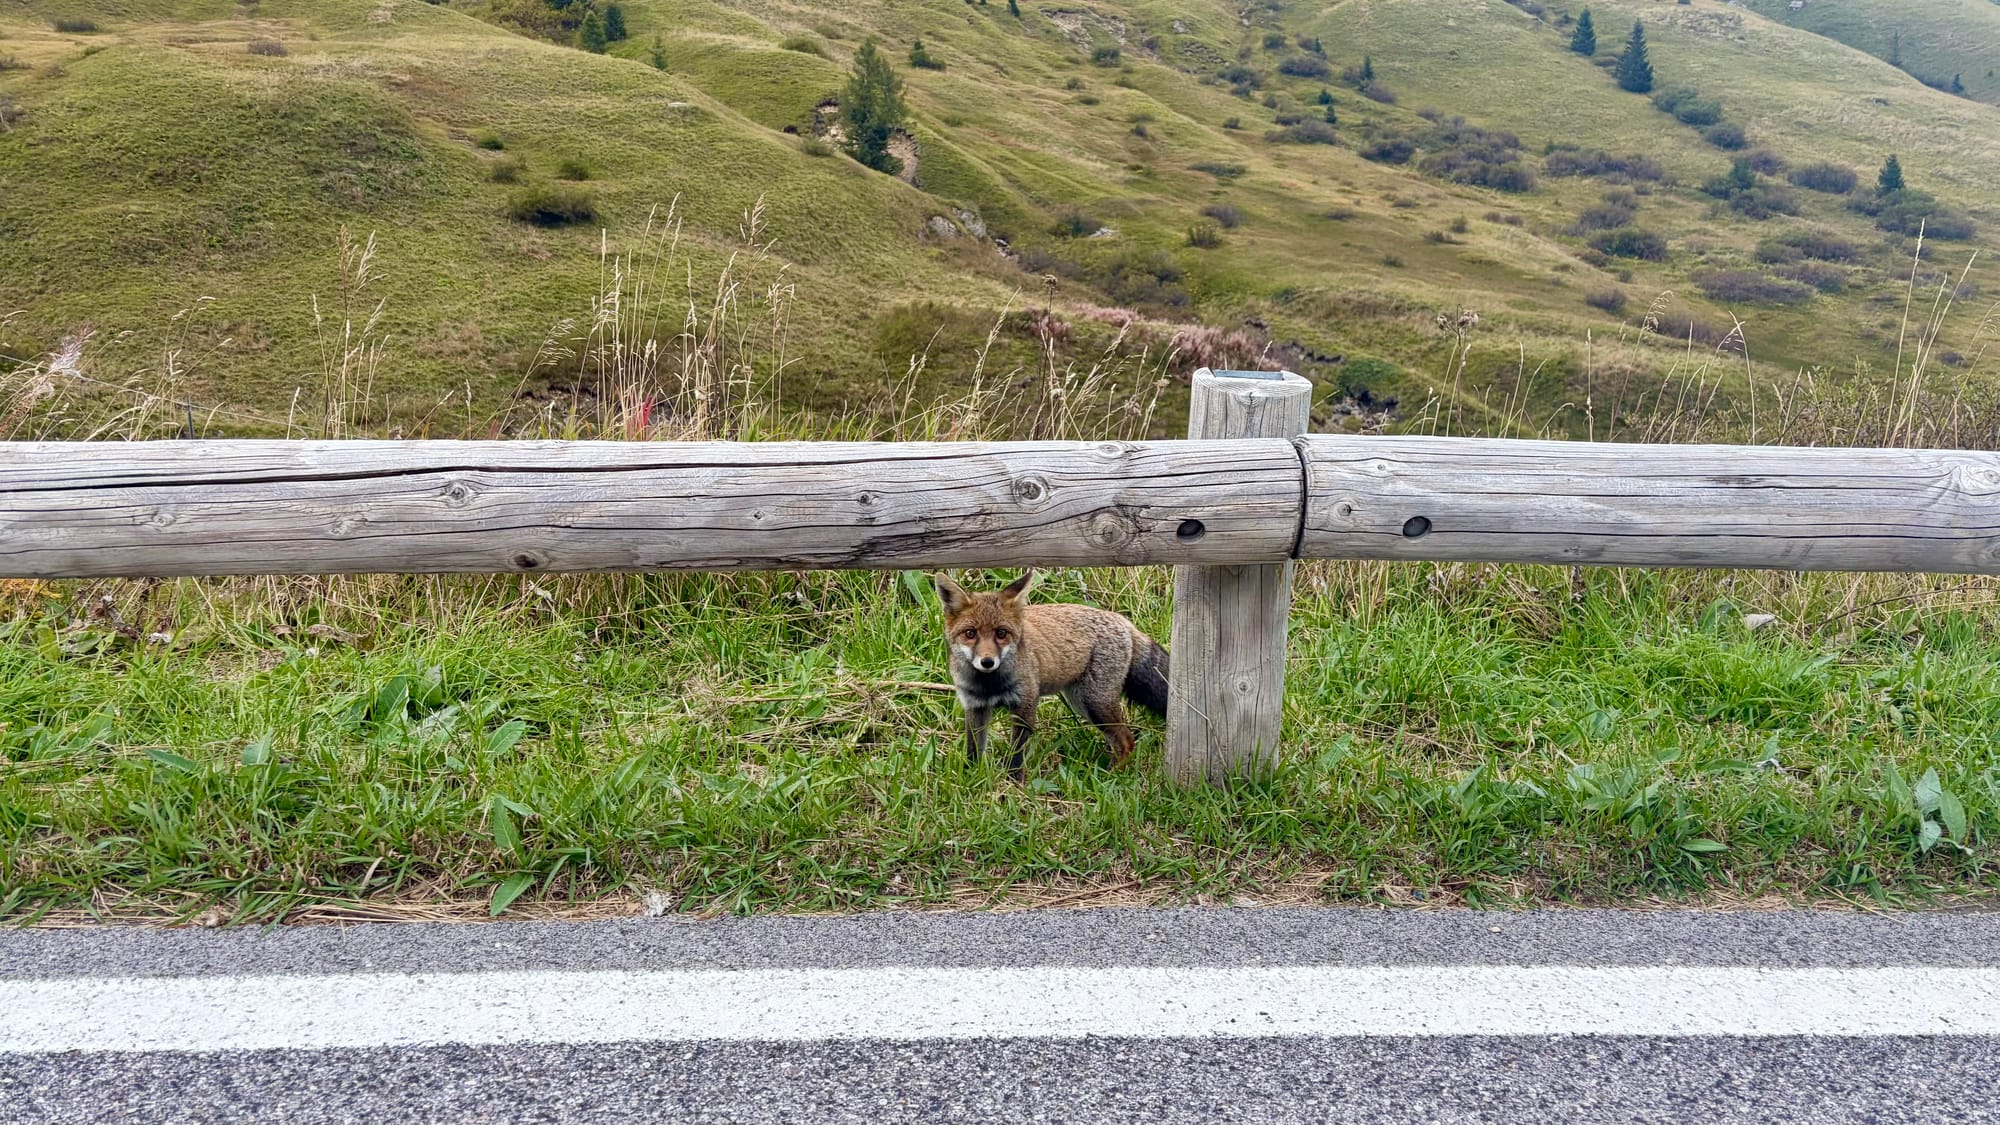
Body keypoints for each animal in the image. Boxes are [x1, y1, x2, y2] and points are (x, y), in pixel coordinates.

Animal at [933, 570, 1170, 781]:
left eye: (1001, 633)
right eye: (970, 633)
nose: (987, 662)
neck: (989, 685)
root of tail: (1123, 620)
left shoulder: (1025, 707)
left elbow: (1016, 756)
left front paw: (1013, 785)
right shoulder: (975, 707)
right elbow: (973, 751)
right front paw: (971, 778)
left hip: (1095, 704)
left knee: (1126, 740)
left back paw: (1111, 777)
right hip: (1080, 703)